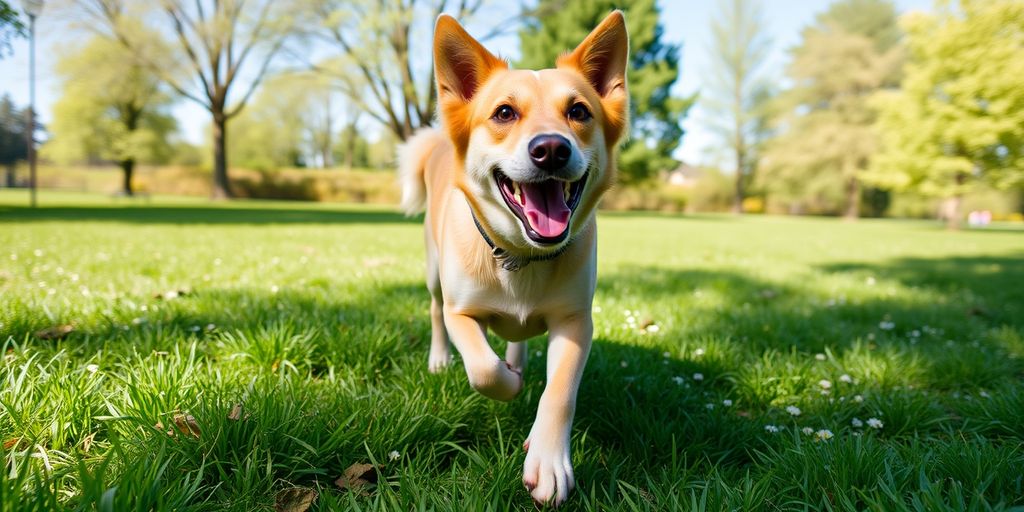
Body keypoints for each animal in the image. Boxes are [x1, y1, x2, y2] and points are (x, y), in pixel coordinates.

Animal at [395, 9, 626, 505]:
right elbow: (483, 368)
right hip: (432, 273)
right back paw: (443, 359)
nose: (551, 148)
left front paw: (547, 460)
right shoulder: (462, 311)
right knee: (435, 312)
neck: (522, 256)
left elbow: (559, 392)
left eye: (579, 111)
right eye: (504, 112)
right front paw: (508, 381)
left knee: (518, 339)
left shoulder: (575, 321)